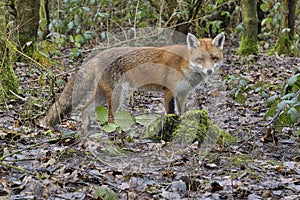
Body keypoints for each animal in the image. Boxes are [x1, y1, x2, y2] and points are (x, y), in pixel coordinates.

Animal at [41, 32, 225, 130]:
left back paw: (86, 130)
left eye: (214, 58)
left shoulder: (182, 94)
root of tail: (97, 55)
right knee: (109, 117)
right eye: (200, 59)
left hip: (102, 95)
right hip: (117, 96)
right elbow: (171, 114)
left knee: (85, 109)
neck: (184, 64)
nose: (209, 71)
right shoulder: (168, 92)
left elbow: (183, 112)